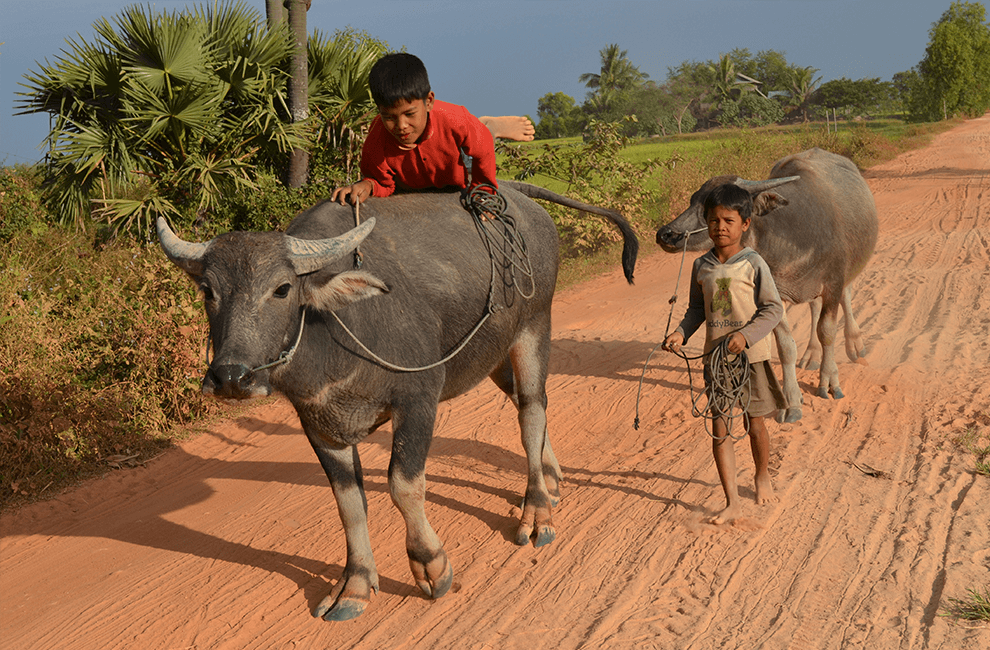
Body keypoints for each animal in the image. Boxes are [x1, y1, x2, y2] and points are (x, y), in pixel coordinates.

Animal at [155, 180, 636, 620]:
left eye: (282, 288)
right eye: (208, 291)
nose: (231, 377)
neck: (339, 329)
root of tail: (519, 197)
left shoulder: (419, 398)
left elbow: (403, 485)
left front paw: (431, 565)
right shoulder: (318, 424)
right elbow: (348, 504)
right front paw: (355, 584)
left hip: (534, 323)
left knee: (532, 410)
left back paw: (536, 512)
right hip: (494, 353)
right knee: (528, 402)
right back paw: (552, 478)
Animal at [660, 149, 876, 408]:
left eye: (710, 208)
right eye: (693, 200)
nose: (666, 234)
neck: (795, 235)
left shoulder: (833, 283)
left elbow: (827, 332)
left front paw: (829, 381)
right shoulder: (774, 292)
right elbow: (785, 345)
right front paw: (791, 397)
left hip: (848, 270)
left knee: (847, 296)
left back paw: (856, 345)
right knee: (814, 307)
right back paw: (811, 354)